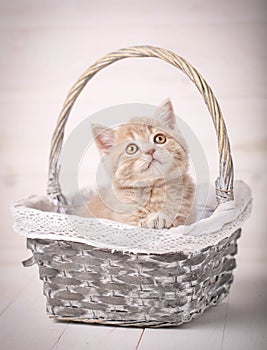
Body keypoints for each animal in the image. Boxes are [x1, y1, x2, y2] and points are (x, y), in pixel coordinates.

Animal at [81, 100, 195, 228]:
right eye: (131, 149)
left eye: (160, 138)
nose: (150, 151)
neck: (155, 189)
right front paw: (154, 219)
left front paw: (160, 217)